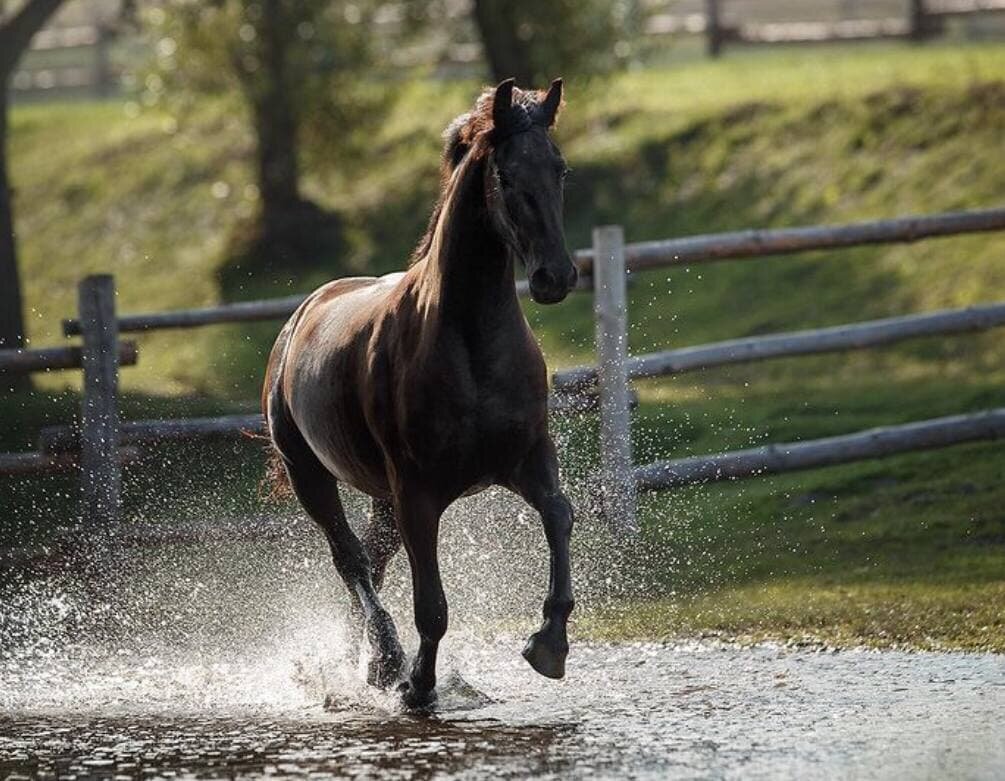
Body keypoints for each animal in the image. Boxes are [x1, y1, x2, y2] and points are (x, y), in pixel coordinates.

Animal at [263, 79, 578, 707]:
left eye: (559, 168)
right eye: (506, 175)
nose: (555, 277)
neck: (470, 339)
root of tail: (302, 315)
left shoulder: (526, 458)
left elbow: (559, 513)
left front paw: (549, 642)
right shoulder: (419, 492)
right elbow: (431, 605)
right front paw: (417, 686)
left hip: (382, 495)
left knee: (371, 560)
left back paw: (362, 660)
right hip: (313, 477)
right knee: (351, 560)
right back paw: (386, 660)